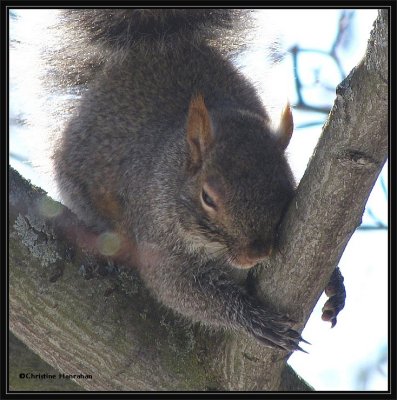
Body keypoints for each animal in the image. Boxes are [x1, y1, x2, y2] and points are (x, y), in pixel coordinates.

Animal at [51, 9, 326, 352]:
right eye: (207, 198)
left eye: (288, 189)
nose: (256, 255)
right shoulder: (157, 238)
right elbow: (174, 287)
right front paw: (255, 320)